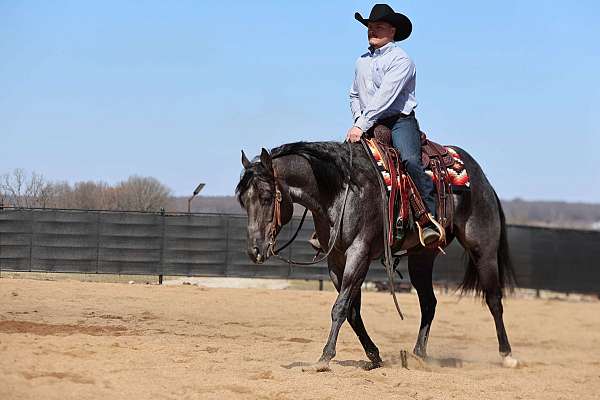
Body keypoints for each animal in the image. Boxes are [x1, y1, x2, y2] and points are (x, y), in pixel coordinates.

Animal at [237, 141, 516, 372]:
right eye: (242, 201)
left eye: (265, 197)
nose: (254, 250)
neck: (342, 190)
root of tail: (482, 179)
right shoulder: (336, 260)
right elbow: (352, 311)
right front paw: (374, 356)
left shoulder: (358, 253)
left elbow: (340, 307)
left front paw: (324, 358)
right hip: (422, 258)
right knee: (429, 302)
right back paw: (418, 355)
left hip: (483, 250)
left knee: (493, 299)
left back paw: (507, 355)